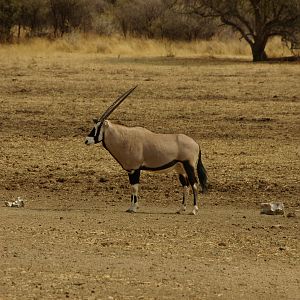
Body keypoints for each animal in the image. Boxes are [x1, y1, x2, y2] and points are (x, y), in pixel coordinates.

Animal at [84, 85, 206, 214]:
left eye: (97, 127)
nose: (86, 140)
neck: (124, 137)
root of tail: (196, 143)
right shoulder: (130, 170)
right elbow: (132, 188)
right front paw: (130, 207)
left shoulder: (135, 169)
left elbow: (134, 188)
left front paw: (133, 208)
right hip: (180, 168)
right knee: (185, 185)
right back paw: (181, 209)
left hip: (189, 165)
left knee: (194, 184)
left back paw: (194, 210)